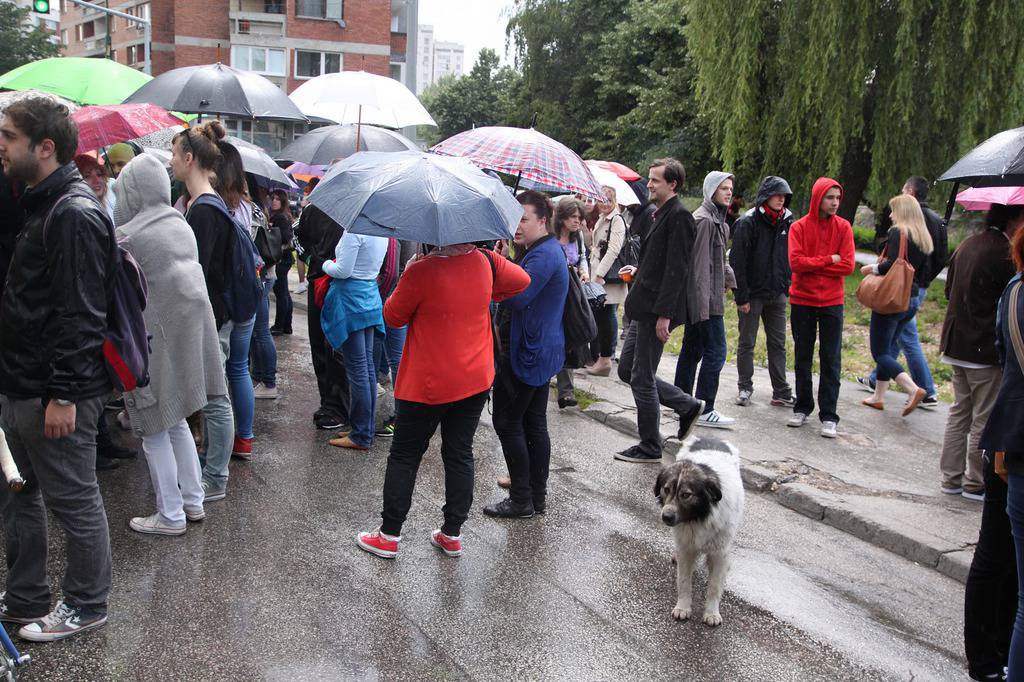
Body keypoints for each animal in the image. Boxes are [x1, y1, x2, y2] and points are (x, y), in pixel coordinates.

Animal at [655, 438, 745, 622]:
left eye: (686, 495)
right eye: (666, 489)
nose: (666, 516)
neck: (699, 517)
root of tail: (712, 438)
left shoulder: (719, 552)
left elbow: (714, 586)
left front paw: (712, 612)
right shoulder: (686, 548)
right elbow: (684, 581)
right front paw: (683, 607)